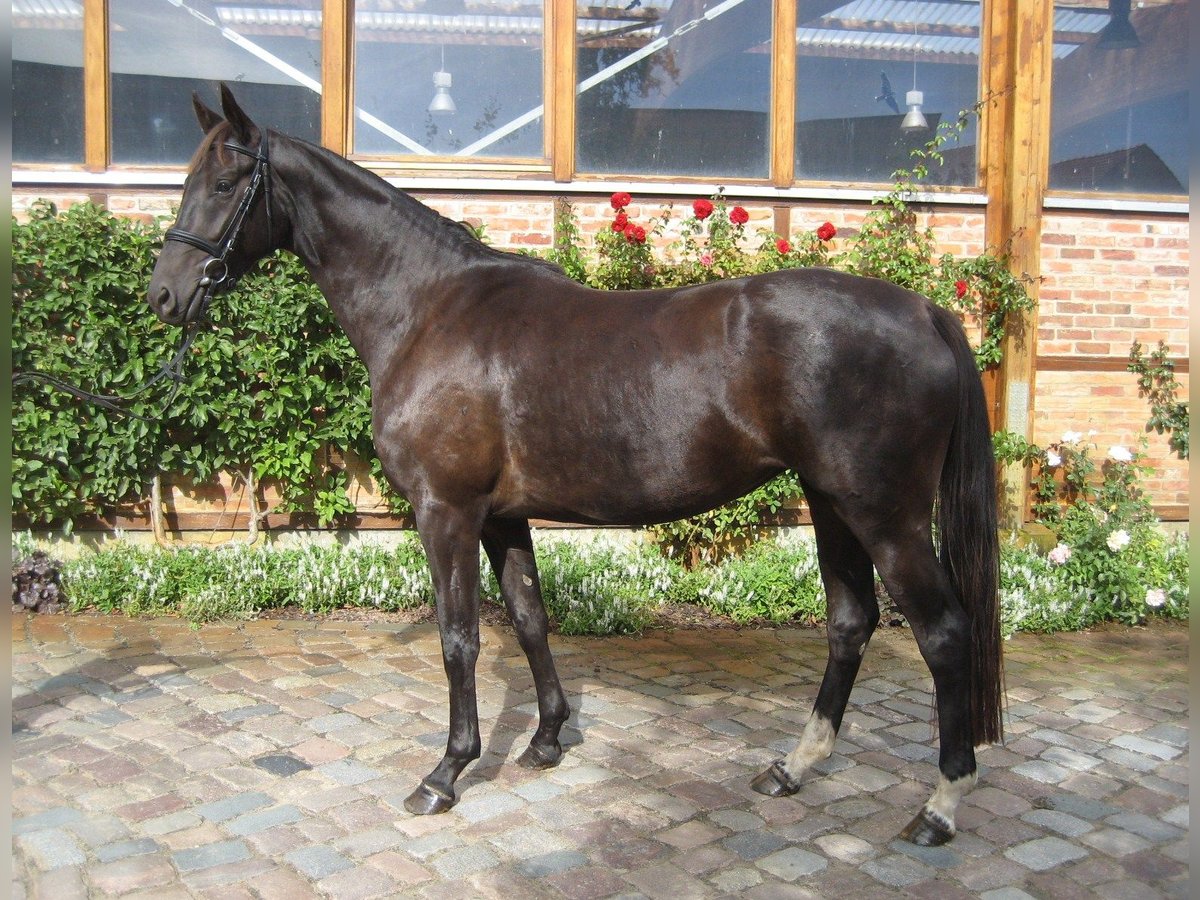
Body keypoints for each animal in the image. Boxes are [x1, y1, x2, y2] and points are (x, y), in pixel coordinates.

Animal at [147, 86, 1003, 854]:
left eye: (223, 184)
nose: (164, 296)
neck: (429, 309)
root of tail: (926, 311)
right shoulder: (501, 515)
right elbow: (529, 617)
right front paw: (546, 740)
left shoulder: (445, 510)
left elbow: (459, 638)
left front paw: (446, 774)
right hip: (831, 501)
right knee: (850, 621)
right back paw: (792, 769)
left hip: (885, 514)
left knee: (943, 633)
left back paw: (940, 806)